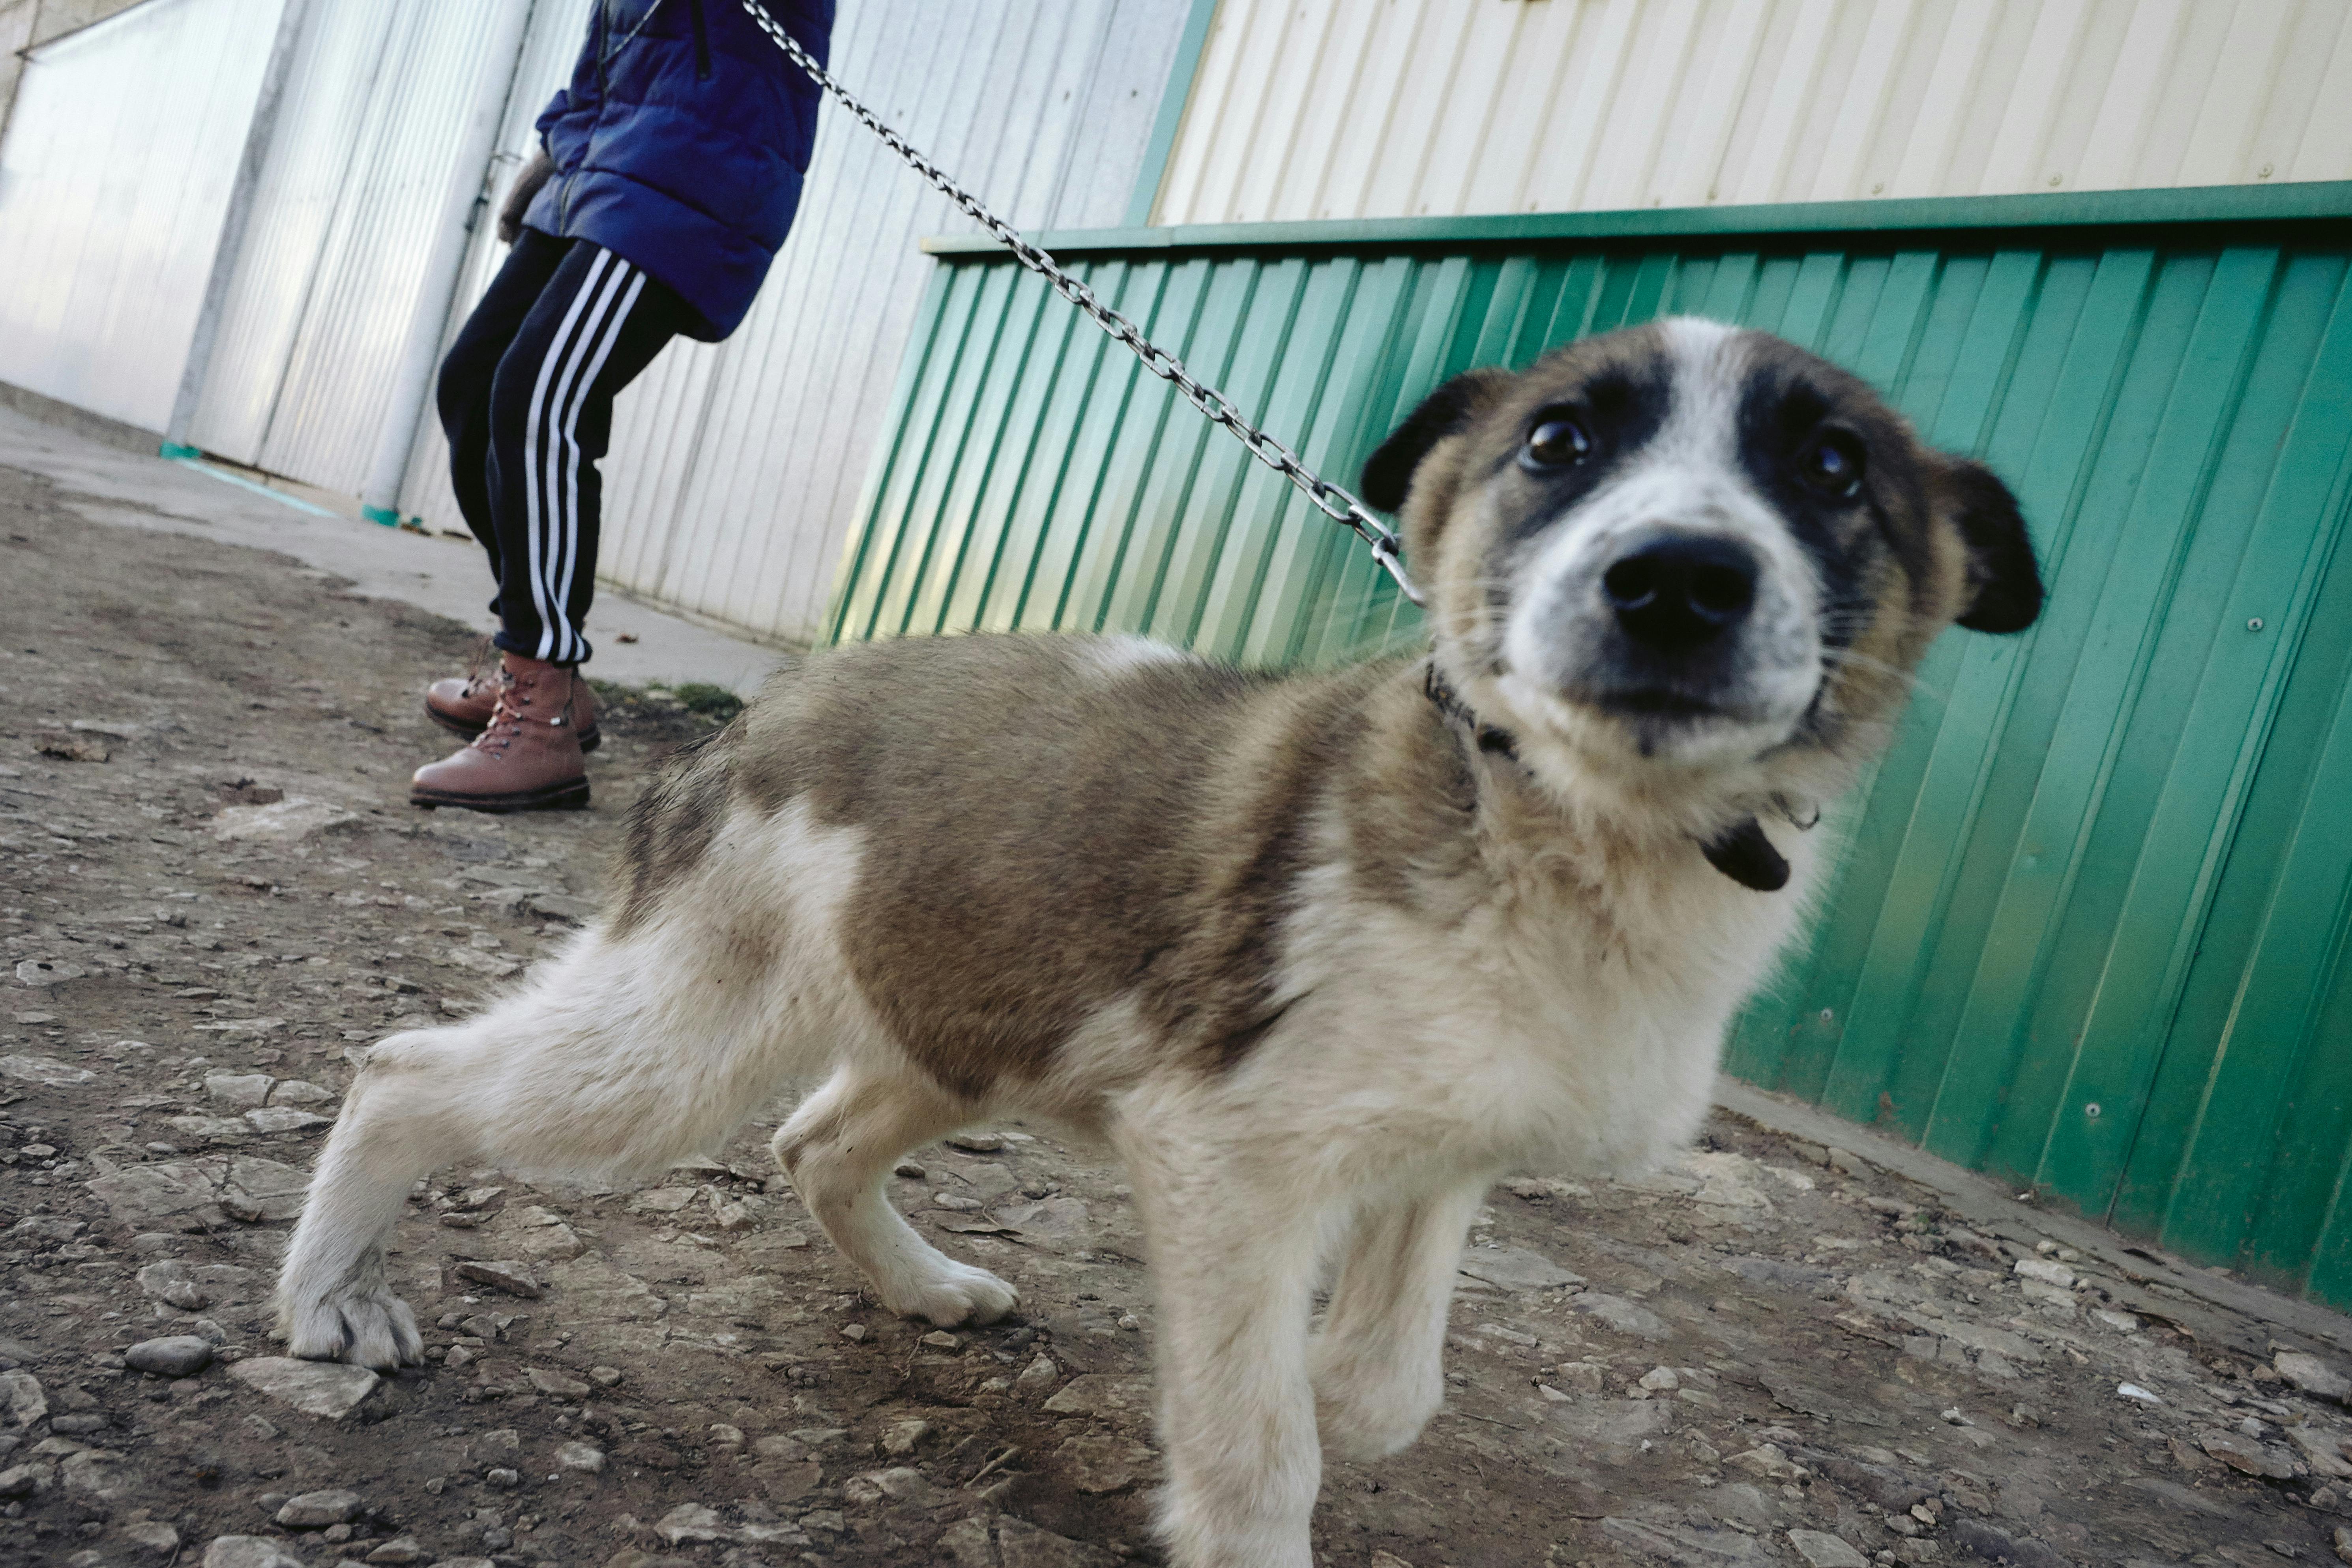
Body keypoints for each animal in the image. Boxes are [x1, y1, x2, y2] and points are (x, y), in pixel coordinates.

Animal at [275, 320, 2041, 1568]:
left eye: (1833, 471)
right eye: (1558, 441)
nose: (1676, 580)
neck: (1558, 817)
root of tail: (779, 701)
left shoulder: (1438, 1134)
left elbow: (1384, 1377)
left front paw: (1339, 1374)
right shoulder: (1223, 1152)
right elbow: (1257, 1449)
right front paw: (1265, 1451)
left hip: (967, 1012)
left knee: (816, 1140)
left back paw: (923, 1287)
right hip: (695, 1027)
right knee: (411, 1066)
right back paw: (329, 1300)